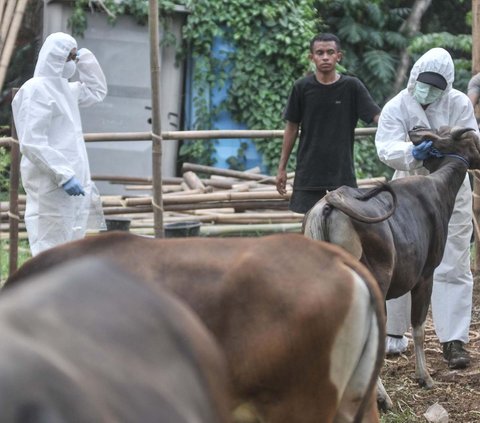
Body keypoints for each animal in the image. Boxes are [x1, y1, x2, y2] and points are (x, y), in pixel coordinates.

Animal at [304, 126, 480, 410]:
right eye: (473, 141)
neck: (439, 187)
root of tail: (329, 206)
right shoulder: (425, 276)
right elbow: (418, 327)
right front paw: (425, 378)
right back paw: (382, 398)